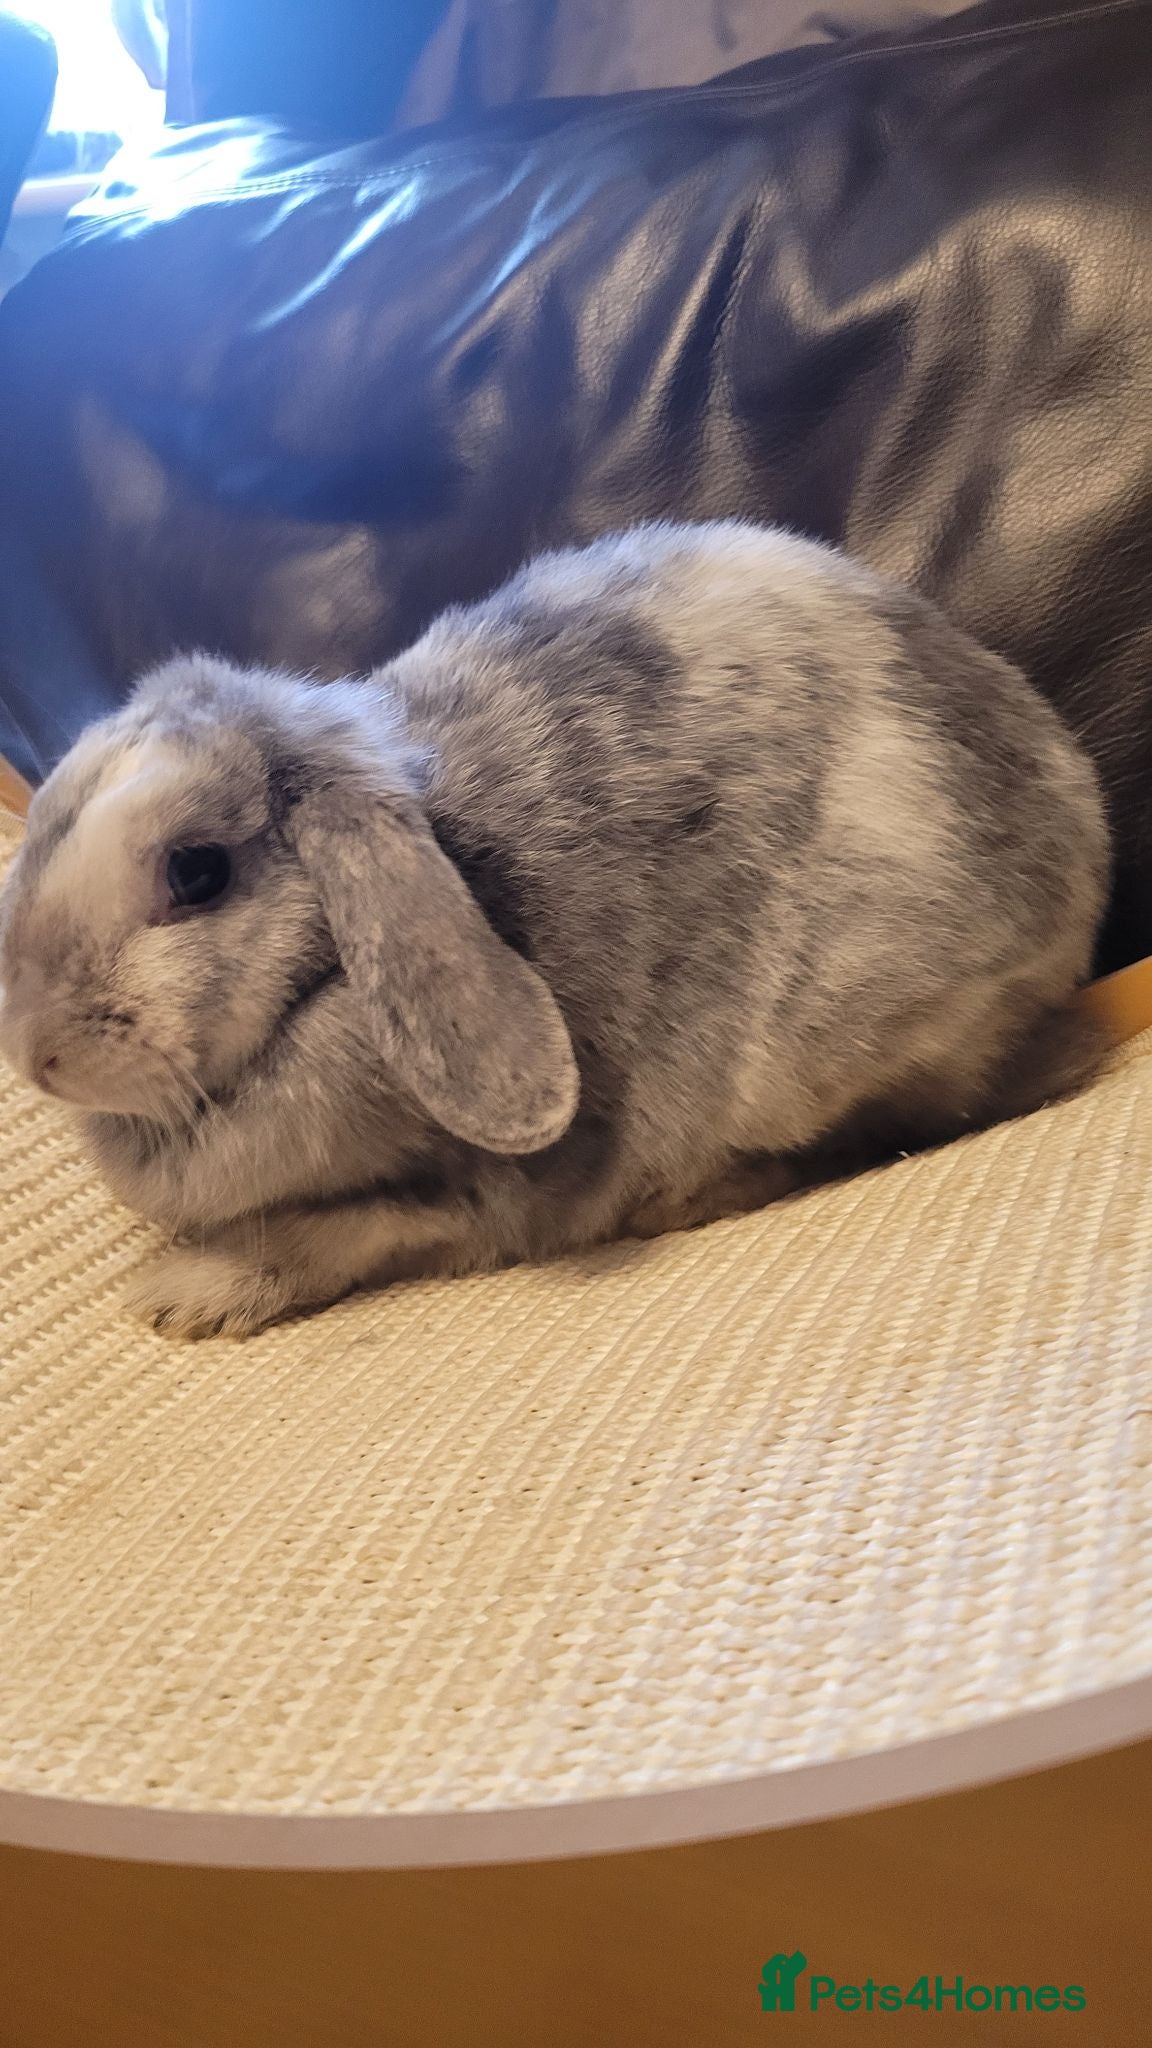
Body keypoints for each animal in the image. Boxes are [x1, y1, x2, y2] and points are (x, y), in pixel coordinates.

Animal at [0, 520, 1109, 1338]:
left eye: (197, 872)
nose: (39, 1056)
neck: (325, 986)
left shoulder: (476, 1195)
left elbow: (339, 1232)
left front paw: (183, 1297)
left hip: (827, 1041)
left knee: (890, 1127)